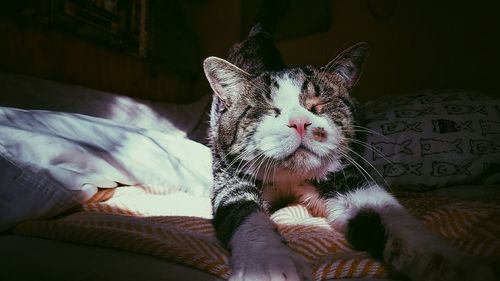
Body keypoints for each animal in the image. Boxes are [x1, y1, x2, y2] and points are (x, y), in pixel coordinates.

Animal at [201, 24, 494, 280]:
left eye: (319, 104)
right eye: (268, 110)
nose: (299, 123)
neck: (291, 178)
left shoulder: (342, 177)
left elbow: (388, 213)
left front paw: (451, 263)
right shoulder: (232, 176)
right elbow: (245, 212)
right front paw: (269, 265)